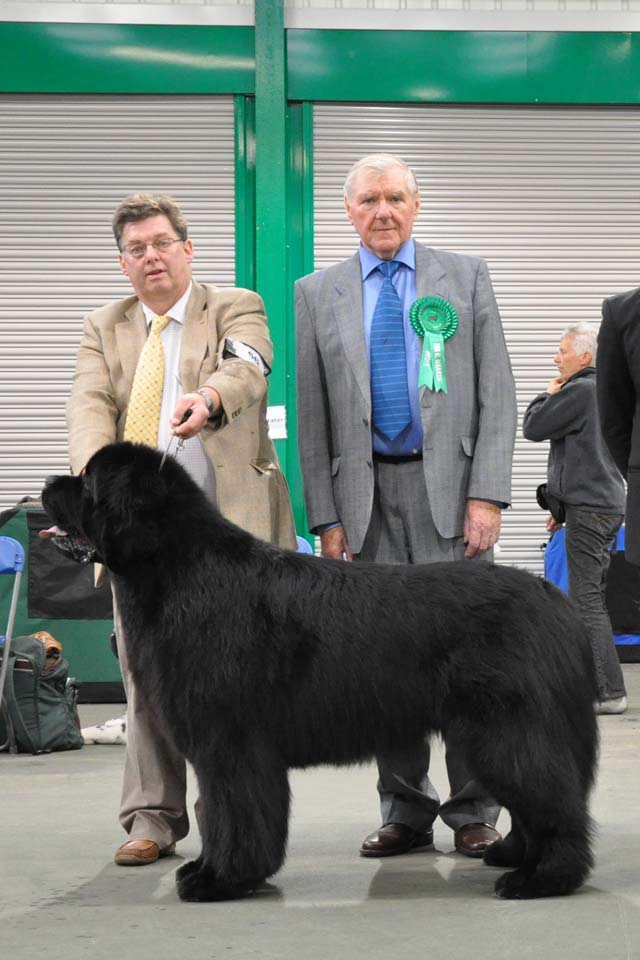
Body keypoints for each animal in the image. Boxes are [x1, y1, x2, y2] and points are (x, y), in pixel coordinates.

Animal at [42, 440, 596, 900]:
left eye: (87, 481)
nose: (48, 482)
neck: (180, 568)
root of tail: (555, 601)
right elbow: (229, 816)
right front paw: (216, 871)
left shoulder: (230, 744)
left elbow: (232, 815)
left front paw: (221, 879)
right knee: (534, 801)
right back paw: (514, 856)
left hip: (508, 729)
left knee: (554, 804)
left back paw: (545, 878)